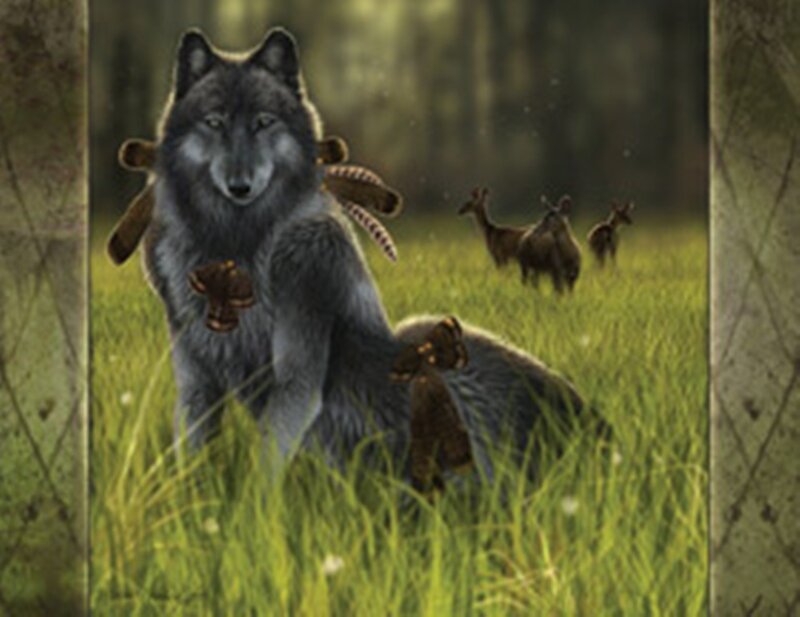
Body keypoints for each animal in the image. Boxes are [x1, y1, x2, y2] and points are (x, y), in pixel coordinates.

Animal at [143, 27, 603, 482]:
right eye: (214, 122)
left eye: (263, 123)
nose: (239, 186)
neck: (233, 243)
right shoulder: (195, 375)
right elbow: (192, 452)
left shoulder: (303, 333)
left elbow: (269, 462)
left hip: (424, 341)